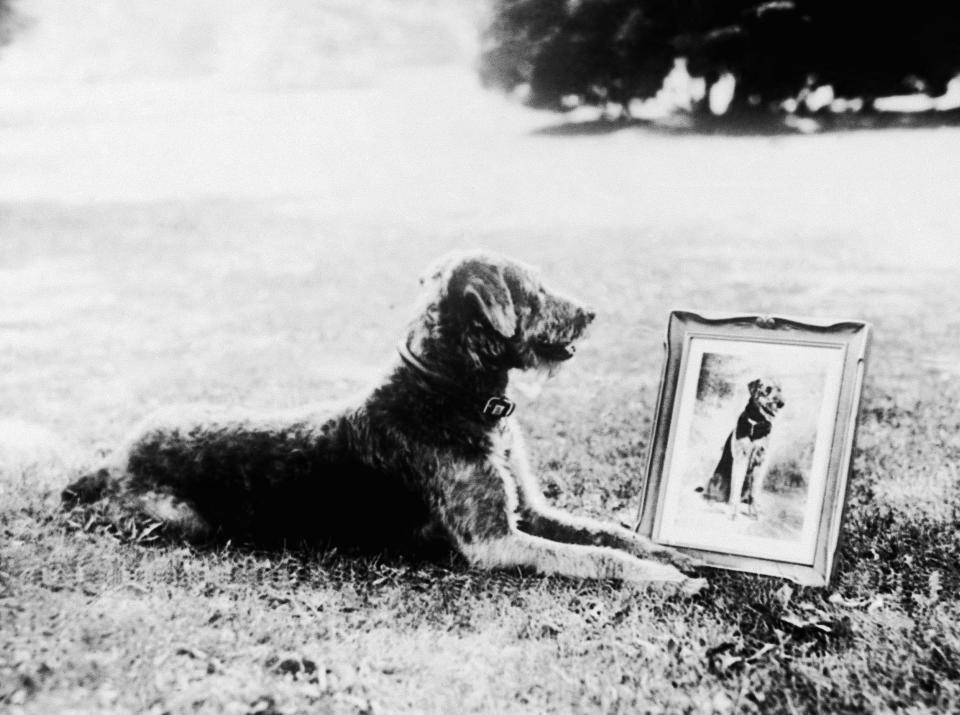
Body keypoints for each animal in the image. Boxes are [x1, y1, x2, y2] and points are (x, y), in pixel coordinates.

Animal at [62, 252, 704, 592]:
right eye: (534, 289)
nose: (592, 313)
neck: (447, 395)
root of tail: (113, 460)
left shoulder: (530, 509)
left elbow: (607, 533)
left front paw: (667, 553)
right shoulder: (494, 541)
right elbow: (592, 556)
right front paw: (665, 577)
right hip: (180, 518)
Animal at [696, 378, 788, 524]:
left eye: (779, 389)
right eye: (767, 389)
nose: (781, 404)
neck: (756, 422)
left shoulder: (760, 461)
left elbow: (754, 493)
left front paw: (754, 513)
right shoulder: (741, 458)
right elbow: (736, 489)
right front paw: (733, 514)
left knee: (745, 496)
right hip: (717, 479)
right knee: (711, 495)